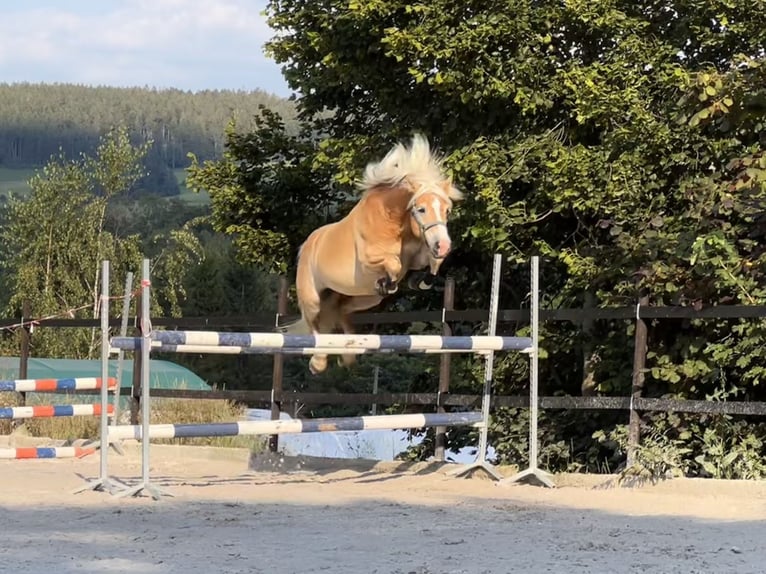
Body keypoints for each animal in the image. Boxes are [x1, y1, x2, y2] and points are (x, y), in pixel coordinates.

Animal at [288, 136, 464, 378]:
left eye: (447, 210)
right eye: (420, 209)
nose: (444, 245)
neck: (395, 223)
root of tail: (307, 245)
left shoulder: (418, 254)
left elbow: (431, 264)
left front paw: (419, 281)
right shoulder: (368, 259)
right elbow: (393, 263)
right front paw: (389, 282)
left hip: (362, 298)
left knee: (341, 312)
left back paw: (348, 356)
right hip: (313, 297)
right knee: (313, 322)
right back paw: (319, 362)